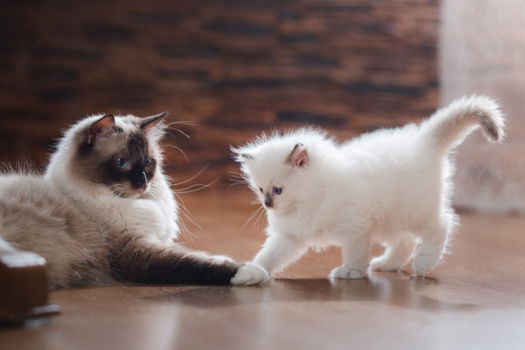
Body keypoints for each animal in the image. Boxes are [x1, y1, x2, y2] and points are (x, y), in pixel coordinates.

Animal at [0, 113, 268, 288]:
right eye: (121, 163)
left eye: (147, 162)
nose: (142, 182)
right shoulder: (135, 251)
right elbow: (190, 263)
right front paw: (251, 270)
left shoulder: (154, 239)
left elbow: (196, 254)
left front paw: (225, 257)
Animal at [232, 95, 504, 278]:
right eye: (260, 190)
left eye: (278, 190)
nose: (268, 204)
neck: (312, 198)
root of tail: (423, 142)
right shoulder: (290, 236)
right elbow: (268, 256)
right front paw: (250, 272)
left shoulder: (354, 230)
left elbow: (354, 254)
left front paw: (351, 273)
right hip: (391, 220)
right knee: (405, 242)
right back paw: (387, 265)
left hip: (415, 212)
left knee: (443, 225)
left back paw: (424, 263)